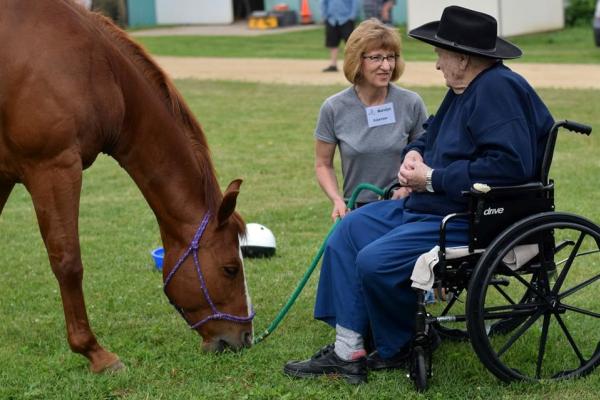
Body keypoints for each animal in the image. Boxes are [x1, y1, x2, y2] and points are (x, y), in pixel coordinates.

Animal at [0, 0, 252, 372]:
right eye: (230, 269)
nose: (245, 338)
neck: (96, 69)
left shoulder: (4, 172)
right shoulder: (54, 169)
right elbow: (68, 261)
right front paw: (94, 352)